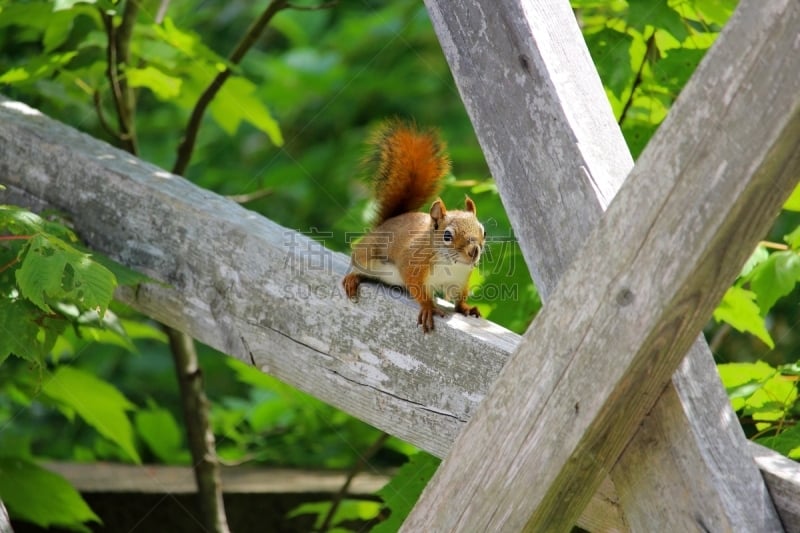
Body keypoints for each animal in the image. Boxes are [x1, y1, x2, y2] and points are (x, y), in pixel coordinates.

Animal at [340, 119, 484, 332]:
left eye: (484, 231)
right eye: (447, 236)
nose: (474, 251)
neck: (450, 264)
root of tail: (386, 223)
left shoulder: (460, 280)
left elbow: (459, 299)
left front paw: (466, 308)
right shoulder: (412, 265)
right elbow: (418, 290)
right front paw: (428, 307)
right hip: (367, 254)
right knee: (357, 265)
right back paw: (353, 278)